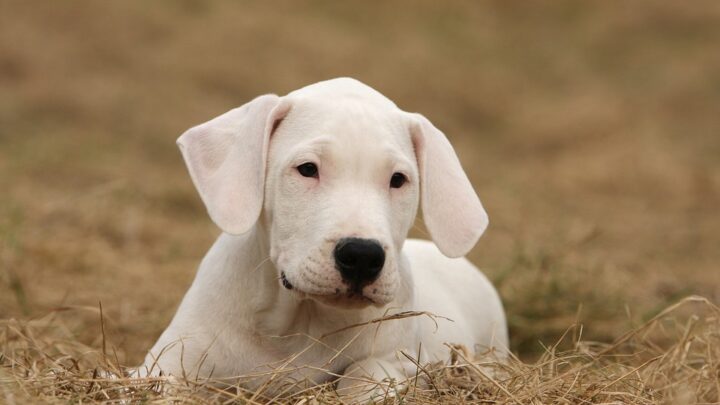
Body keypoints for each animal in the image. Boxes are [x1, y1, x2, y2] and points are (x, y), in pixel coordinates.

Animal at [141, 76, 510, 398]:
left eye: (398, 179)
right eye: (307, 169)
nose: (362, 256)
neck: (300, 324)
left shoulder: (396, 360)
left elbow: (364, 374)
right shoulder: (168, 360)